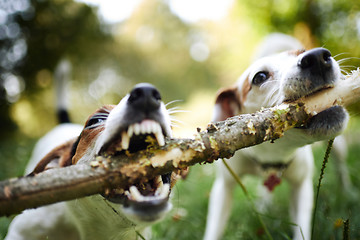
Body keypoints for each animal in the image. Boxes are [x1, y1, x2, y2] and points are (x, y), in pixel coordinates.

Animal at [205, 41, 348, 238]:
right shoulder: (224, 187)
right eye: (260, 77)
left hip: (338, 146)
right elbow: (214, 227)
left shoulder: (301, 186)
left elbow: (301, 226)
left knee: (341, 166)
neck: (273, 152)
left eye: (302, 52)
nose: (318, 57)